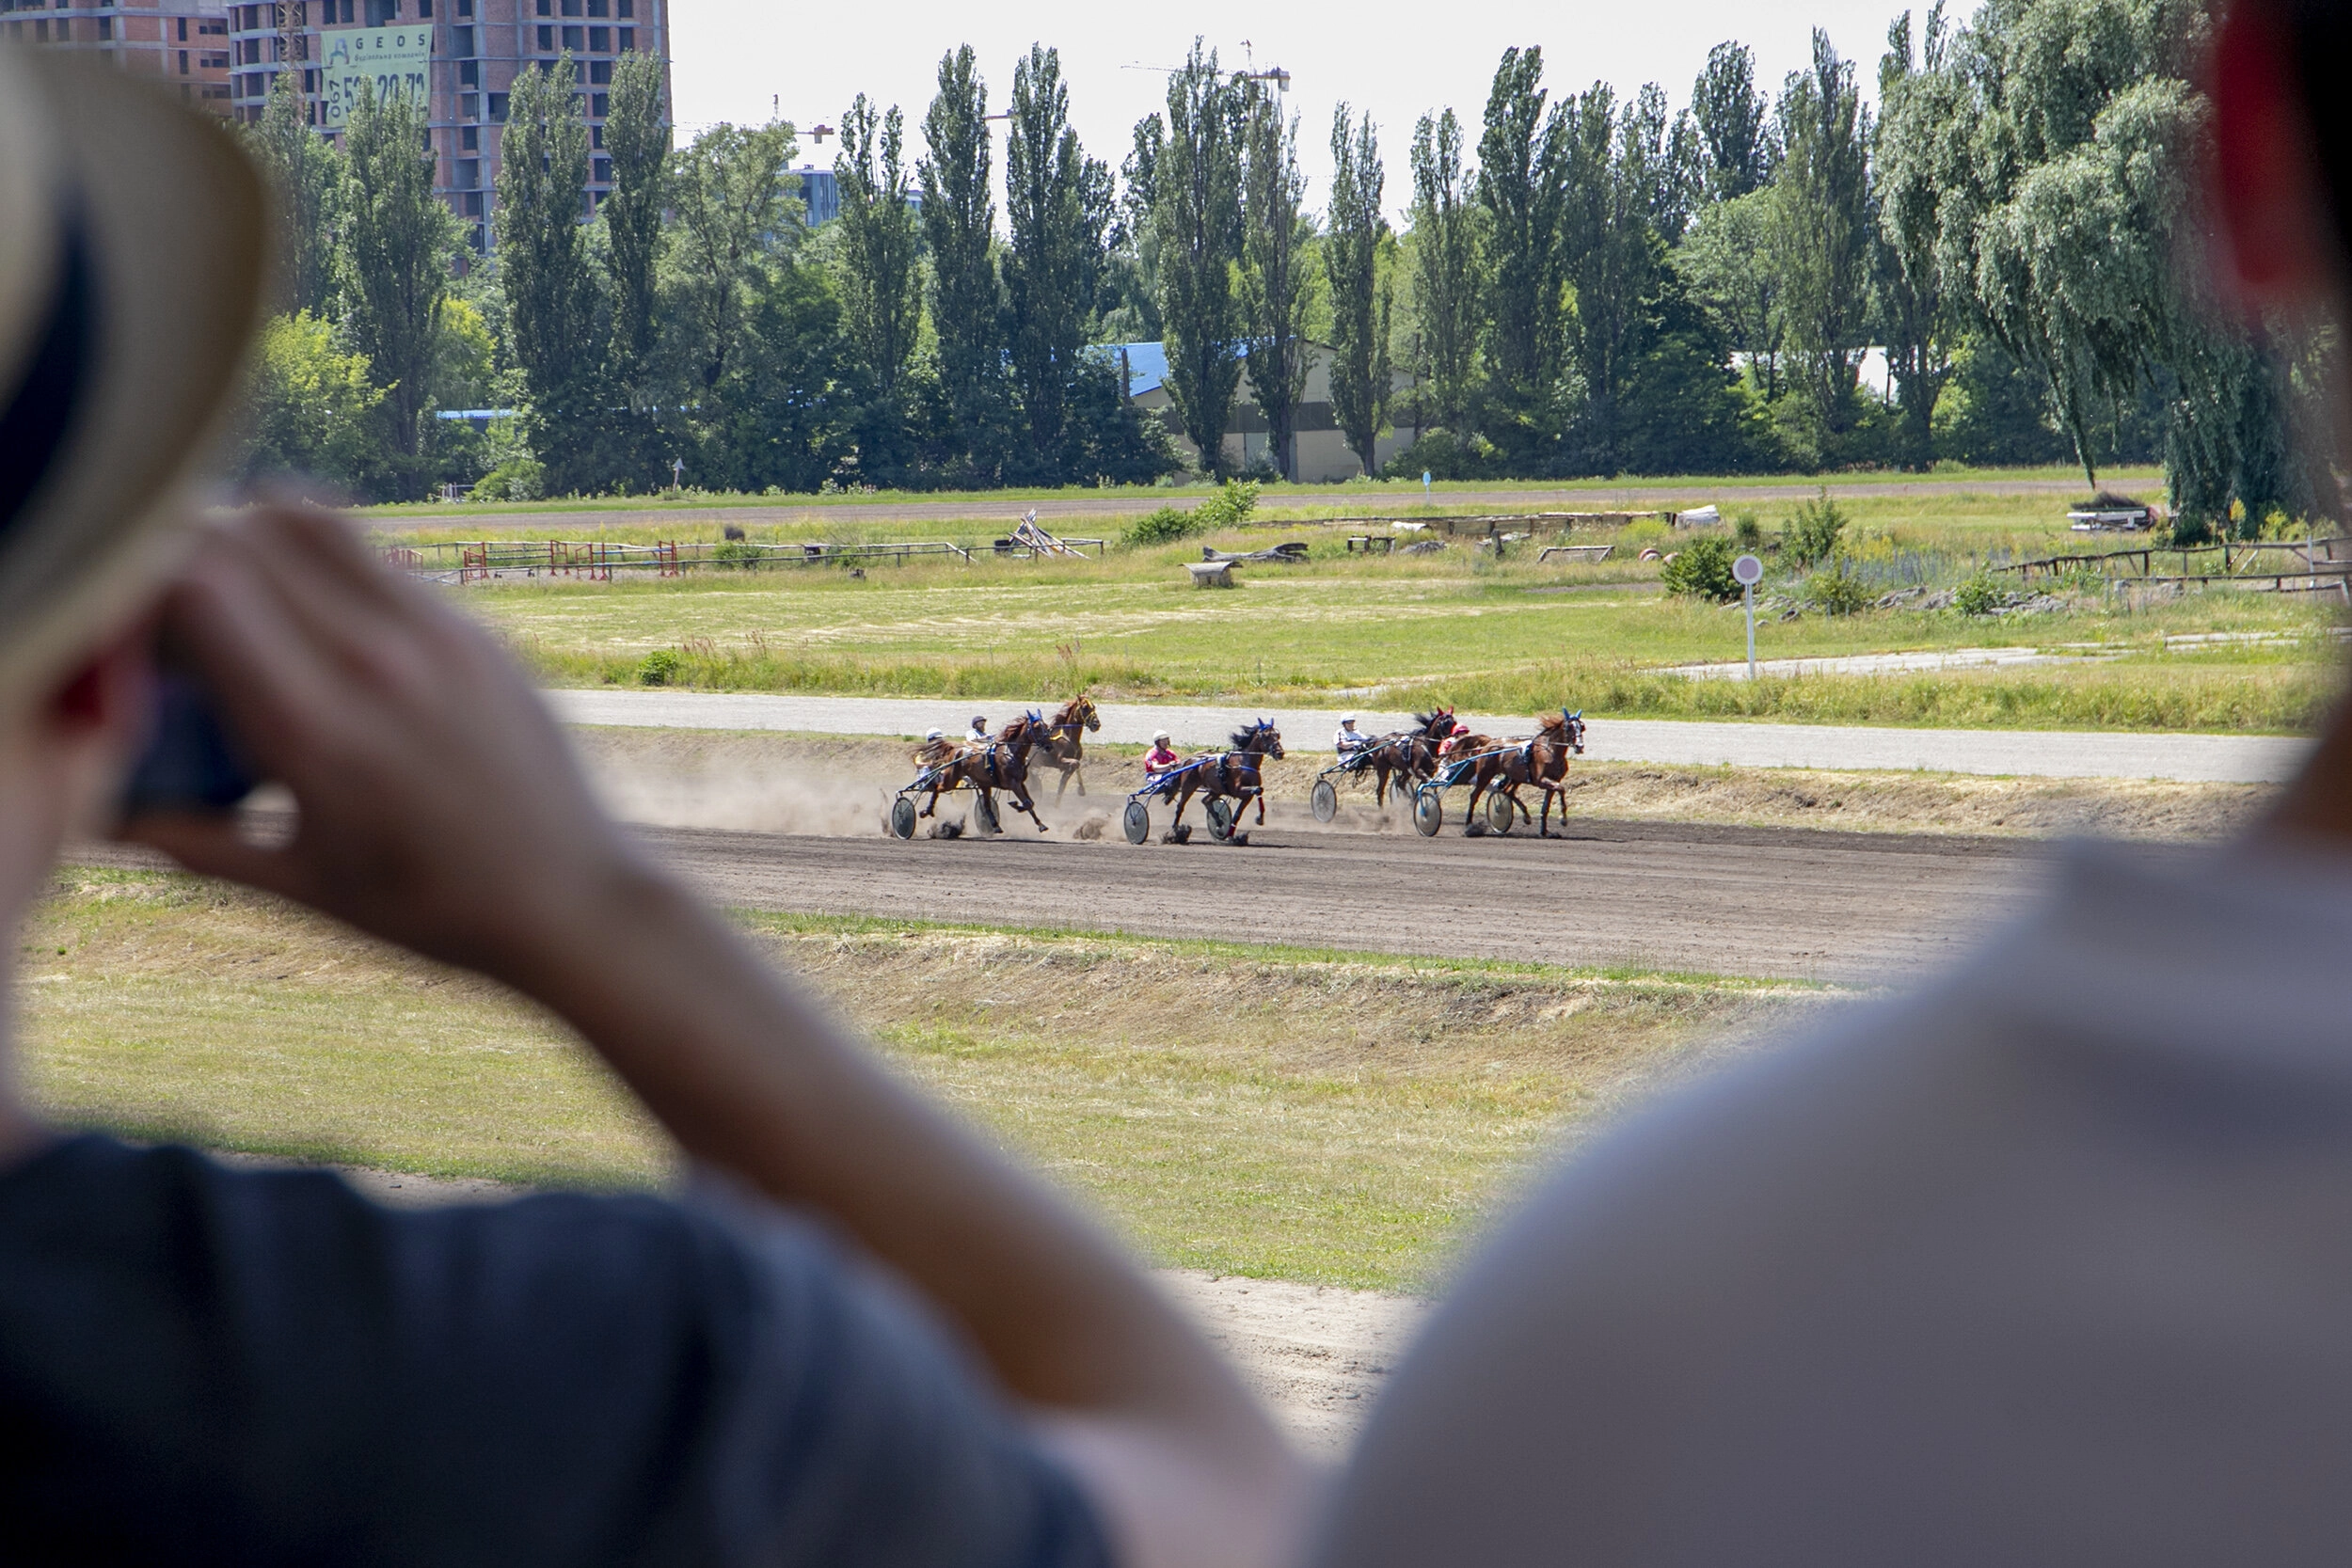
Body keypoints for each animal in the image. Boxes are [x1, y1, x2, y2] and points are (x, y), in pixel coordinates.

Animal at [1162, 723, 1279, 846]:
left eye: (1278, 735)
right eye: (1266, 736)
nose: (1280, 753)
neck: (1244, 761)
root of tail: (1190, 759)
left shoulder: (1247, 796)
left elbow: (1238, 813)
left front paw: (1233, 836)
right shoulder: (1237, 789)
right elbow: (1257, 789)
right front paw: (1259, 819)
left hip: (1217, 789)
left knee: (1206, 801)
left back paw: (1219, 822)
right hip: (1188, 786)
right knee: (1180, 806)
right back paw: (1176, 833)